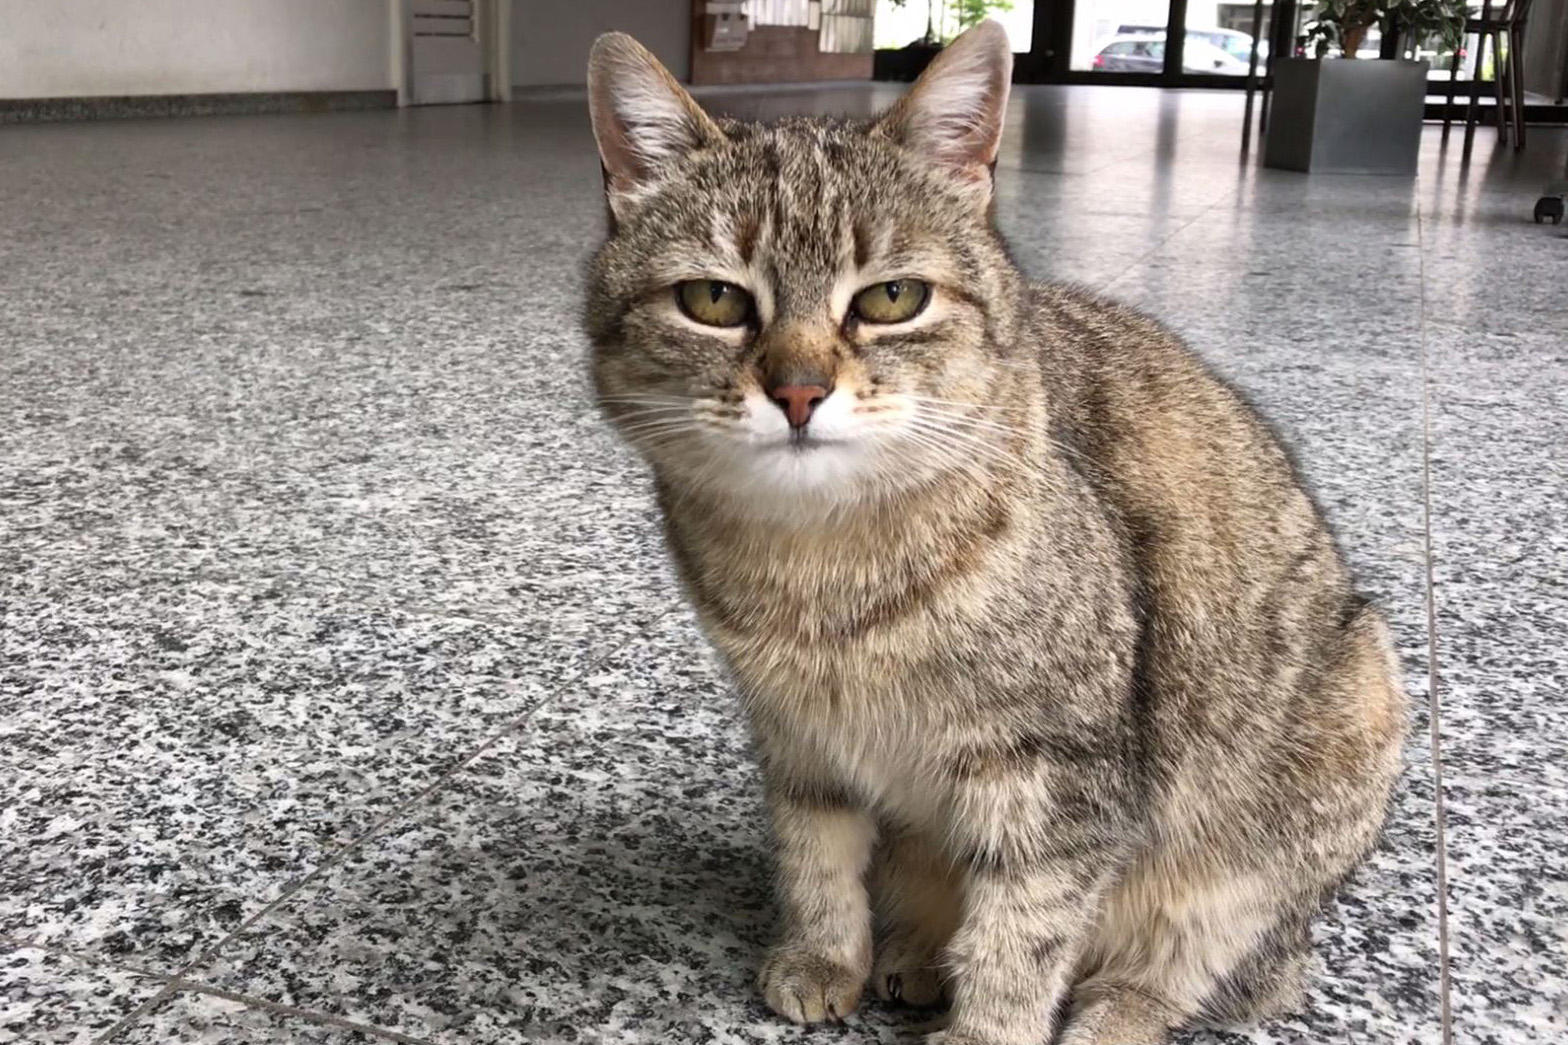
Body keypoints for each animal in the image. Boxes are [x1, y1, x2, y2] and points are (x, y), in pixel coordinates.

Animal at [580, 22, 1411, 1041]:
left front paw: (987, 1027)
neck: (820, 567)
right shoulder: (801, 740)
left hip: (1322, 760)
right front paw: (825, 954)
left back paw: (1117, 1006)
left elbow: (1022, 930)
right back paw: (908, 955)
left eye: (892, 298)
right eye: (714, 301)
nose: (799, 391)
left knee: (1211, 962)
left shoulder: (1057, 773)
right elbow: (816, 861)